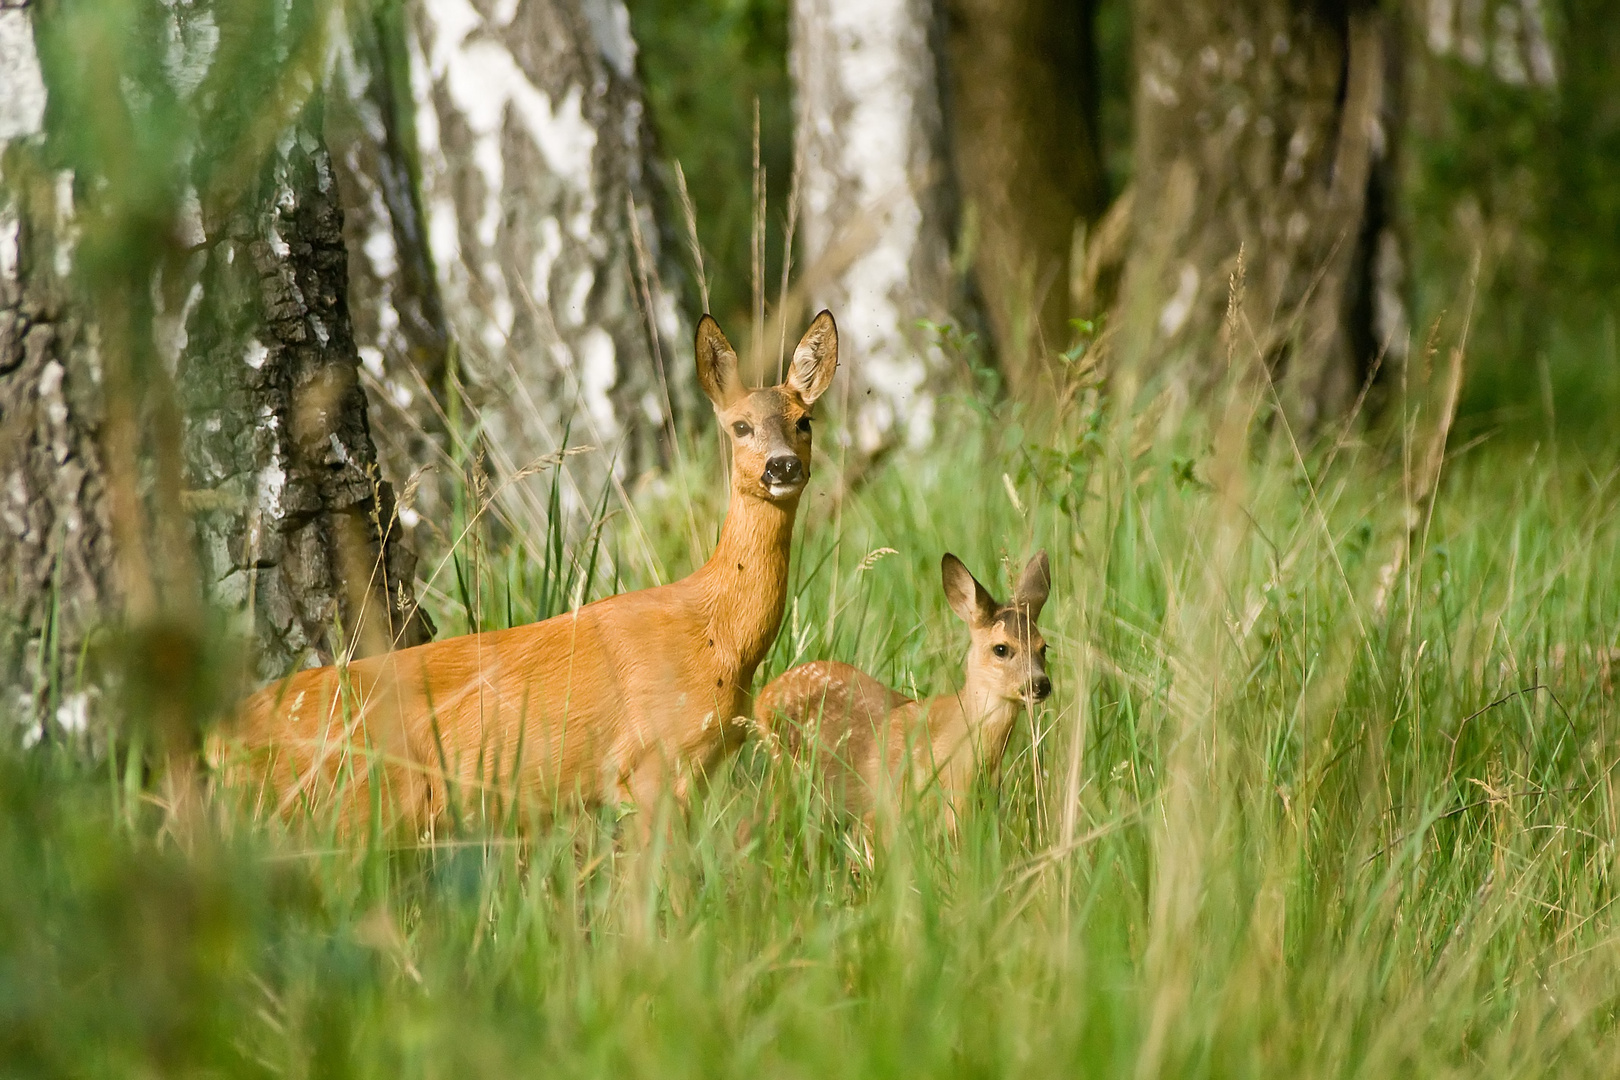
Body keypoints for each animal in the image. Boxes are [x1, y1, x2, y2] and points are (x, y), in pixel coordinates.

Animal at [220, 307, 842, 835]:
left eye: (805, 421)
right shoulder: (650, 764)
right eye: (740, 426)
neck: (718, 637)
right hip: (350, 804)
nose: (781, 466)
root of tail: (223, 735)